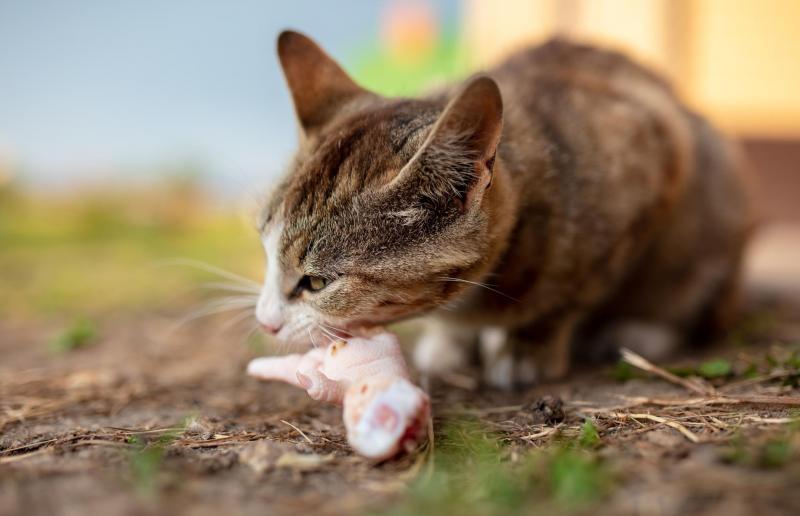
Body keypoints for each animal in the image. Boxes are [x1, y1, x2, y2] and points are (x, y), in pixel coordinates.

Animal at [255, 30, 752, 388]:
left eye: (317, 282)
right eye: (265, 251)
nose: (265, 323)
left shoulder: (653, 159)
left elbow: (567, 295)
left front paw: (528, 347)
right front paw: (451, 341)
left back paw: (640, 329)